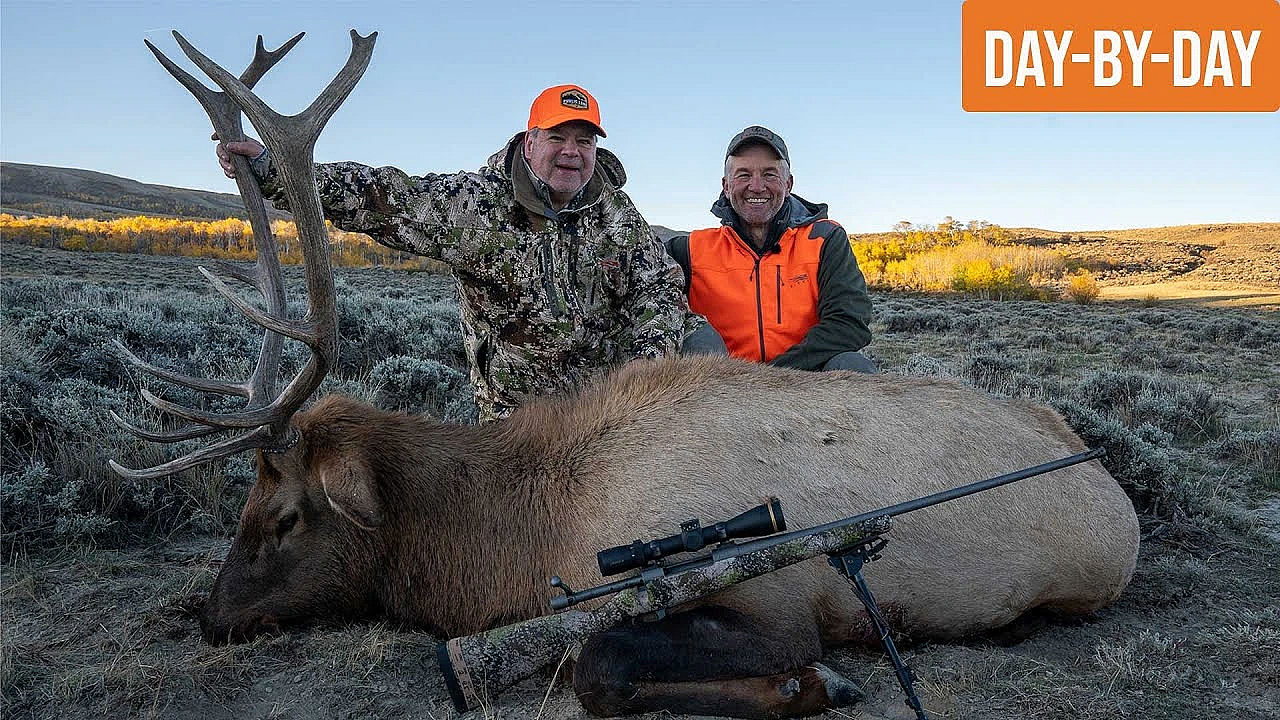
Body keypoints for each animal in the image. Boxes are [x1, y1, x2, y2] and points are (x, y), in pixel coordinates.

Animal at [113, 32, 1141, 719]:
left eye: (285, 514)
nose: (209, 615)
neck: (510, 540)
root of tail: (1102, 469)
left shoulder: (779, 604)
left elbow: (601, 665)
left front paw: (820, 682)